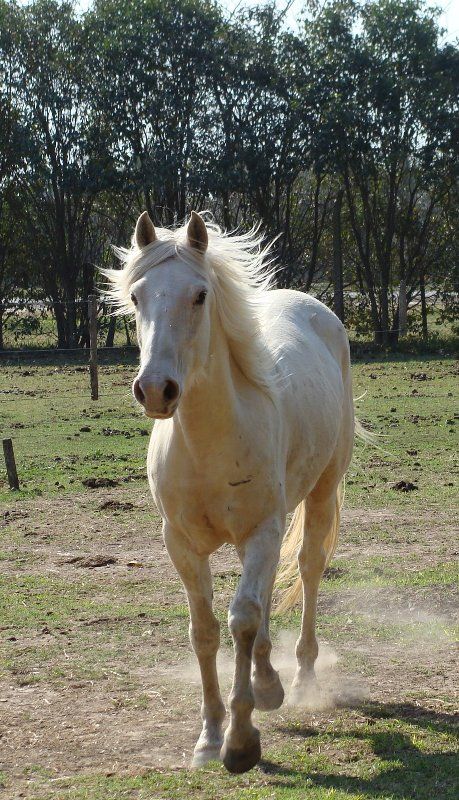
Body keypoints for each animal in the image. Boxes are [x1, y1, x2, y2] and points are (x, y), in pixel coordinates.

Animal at [107, 209, 356, 772]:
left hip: (319, 493)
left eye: (200, 295)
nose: (155, 390)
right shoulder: (181, 543)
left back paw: (300, 679)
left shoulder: (263, 528)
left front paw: (241, 740)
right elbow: (205, 631)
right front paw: (209, 736)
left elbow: (241, 617)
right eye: (136, 296)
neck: (209, 444)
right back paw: (268, 681)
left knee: (307, 570)